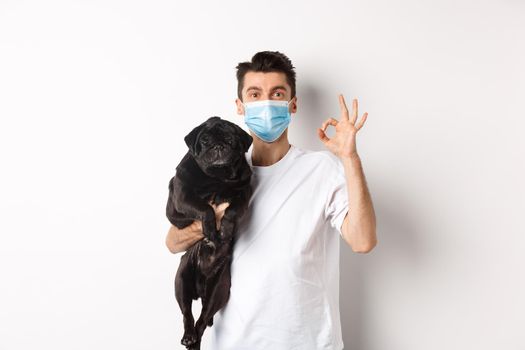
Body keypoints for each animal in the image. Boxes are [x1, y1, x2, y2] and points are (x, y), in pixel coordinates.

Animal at [165, 116, 253, 348]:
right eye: (204, 140)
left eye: (231, 139)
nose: (218, 146)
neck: (217, 179)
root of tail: (201, 290)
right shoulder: (181, 197)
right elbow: (205, 208)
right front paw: (211, 229)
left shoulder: (243, 193)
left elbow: (232, 211)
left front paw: (225, 230)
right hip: (181, 281)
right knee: (187, 314)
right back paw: (189, 337)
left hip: (218, 290)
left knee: (203, 319)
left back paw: (195, 340)